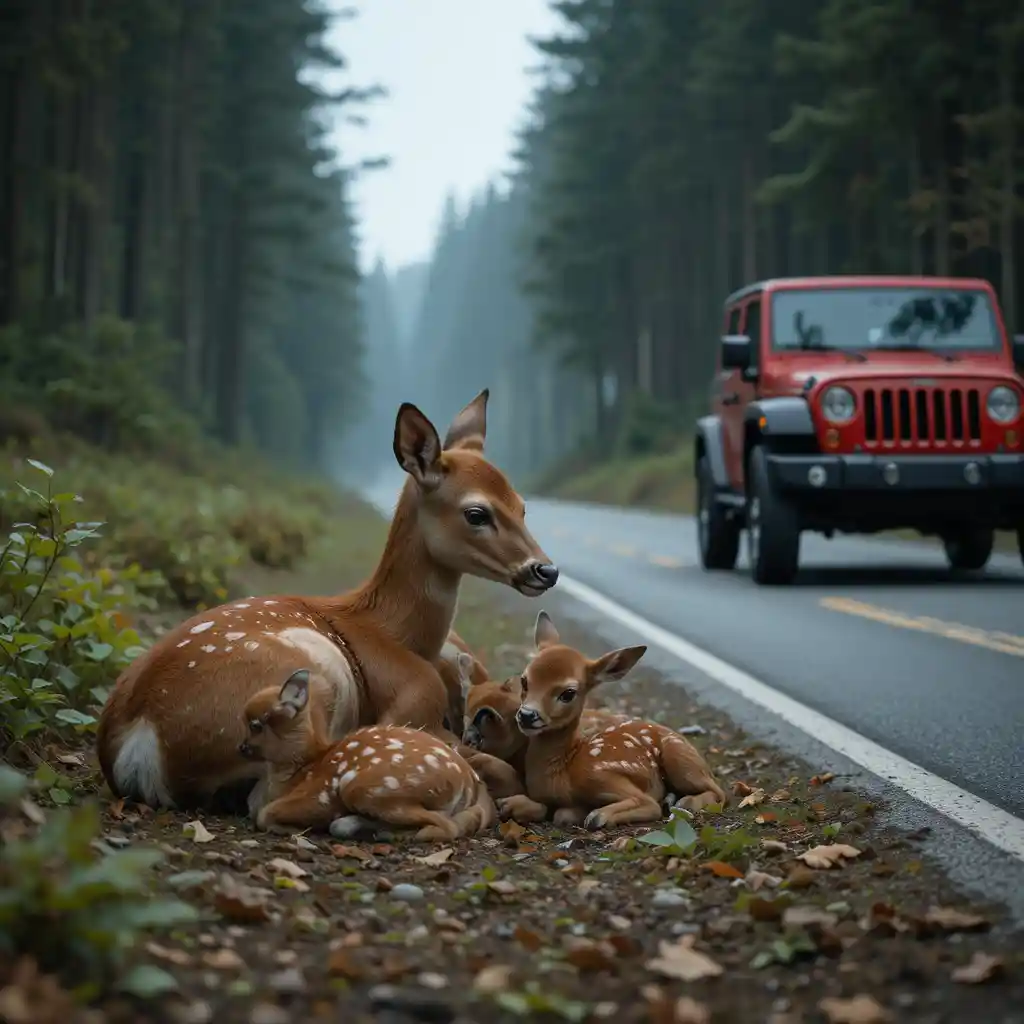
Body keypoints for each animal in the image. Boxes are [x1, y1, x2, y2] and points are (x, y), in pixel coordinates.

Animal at [96, 390, 559, 813]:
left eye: (522, 506)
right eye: (476, 513)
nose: (546, 570)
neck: (399, 635)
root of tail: (138, 743)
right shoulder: (412, 705)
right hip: (316, 676)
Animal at [239, 669, 495, 840]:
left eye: (255, 725)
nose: (241, 748)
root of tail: (469, 782)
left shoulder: (321, 794)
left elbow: (265, 814)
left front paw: (293, 829)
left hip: (367, 787)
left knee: (446, 827)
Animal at [497, 612, 726, 829]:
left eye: (568, 693)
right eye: (524, 680)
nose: (527, 715)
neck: (563, 773)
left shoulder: (602, 775)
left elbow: (602, 816)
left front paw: (589, 813)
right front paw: (512, 804)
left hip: (679, 758)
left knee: (719, 792)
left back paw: (684, 802)